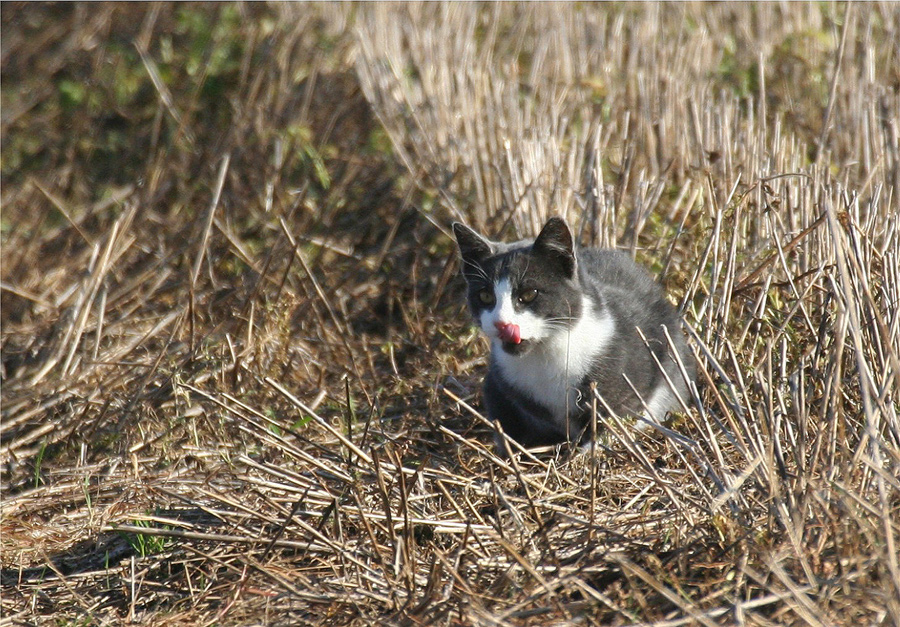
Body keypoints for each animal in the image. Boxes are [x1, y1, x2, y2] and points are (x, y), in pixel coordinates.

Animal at [454, 217, 692, 452]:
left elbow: (619, 415)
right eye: (485, 296)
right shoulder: (497, 385)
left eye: (529, 294)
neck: (545, 356)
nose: (502, 323)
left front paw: (588, 451)